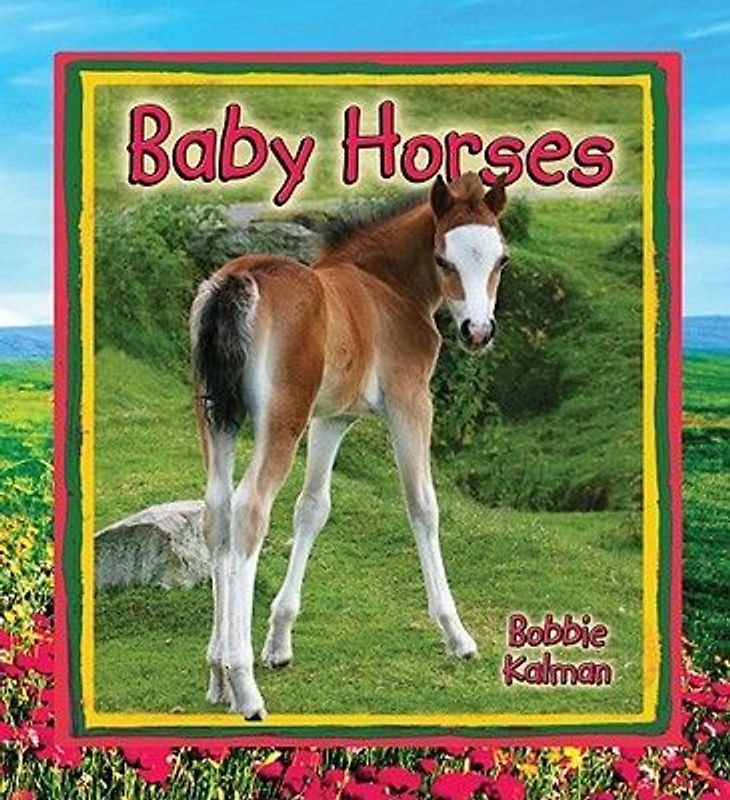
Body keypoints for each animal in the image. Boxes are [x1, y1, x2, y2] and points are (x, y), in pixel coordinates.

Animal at [190, 171, 509, 719]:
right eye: (443, 258)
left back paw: (216, 674)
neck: (384, 286)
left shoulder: (333, 419)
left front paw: (279, 641)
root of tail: (240, 279)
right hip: (282, 420)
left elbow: (312, 508)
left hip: (217, 418)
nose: (477, 331)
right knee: (250, 509)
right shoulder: (410, 401)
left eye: (500, 259)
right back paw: (243, 685)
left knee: (218, 513)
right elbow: (422, 506)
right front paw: (456, 634)